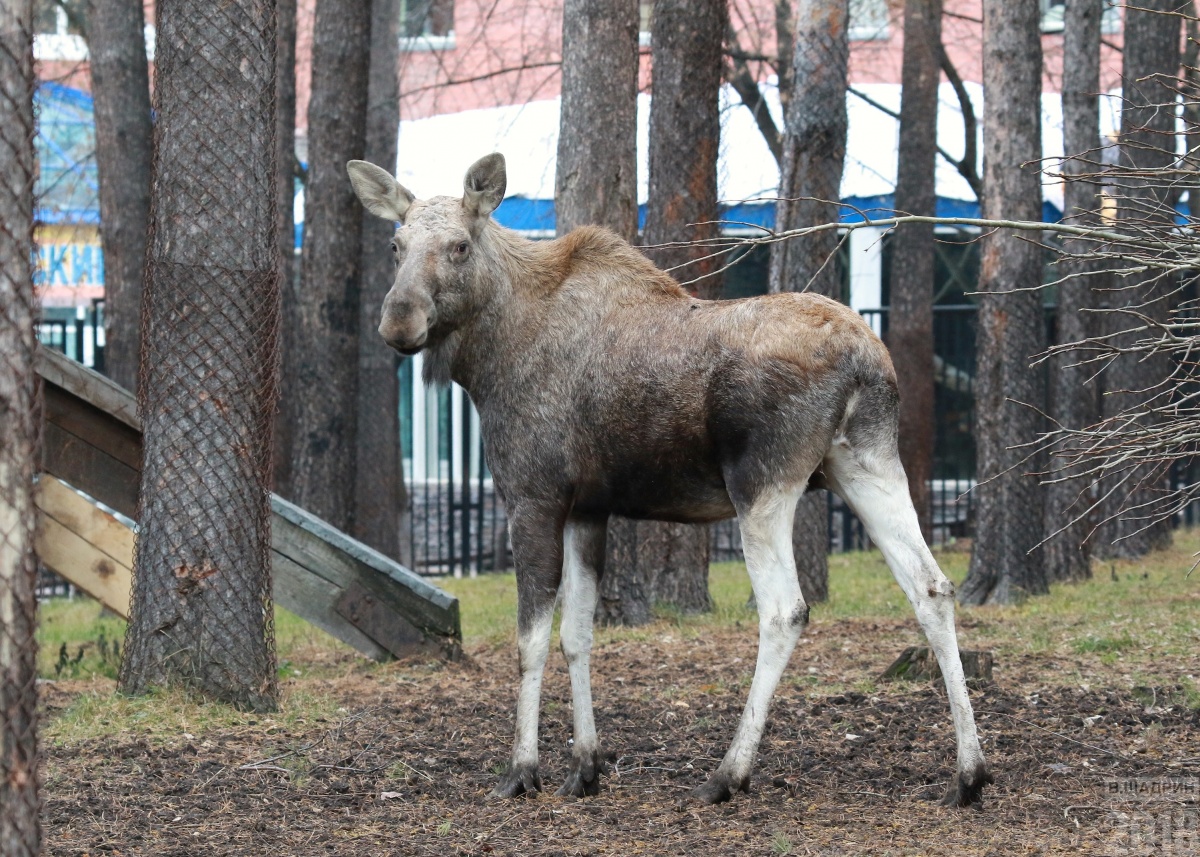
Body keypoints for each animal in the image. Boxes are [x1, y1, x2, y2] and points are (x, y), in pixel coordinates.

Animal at [348, 151, 993, 801]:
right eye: (396, 244)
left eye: (458, 245)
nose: (398, 321)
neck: (489, 357)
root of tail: (867, 362)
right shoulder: (589, 508)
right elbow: (577, 635)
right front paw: (585, 766)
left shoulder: (533, 496)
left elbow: (530, 640)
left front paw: (522, 771)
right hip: (868, 465)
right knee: (931, 588)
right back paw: (969, 773)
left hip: (763, 484)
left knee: (785, 609)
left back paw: (728, 773)